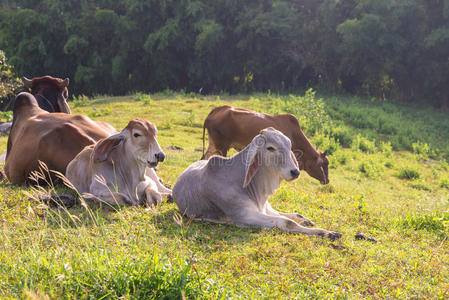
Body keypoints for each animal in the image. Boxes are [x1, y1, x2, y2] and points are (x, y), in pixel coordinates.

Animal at [173, 127, 342, 240]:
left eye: (289, 146)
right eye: (270, 148)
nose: (295, 172)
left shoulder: (263, 209)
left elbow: (291, 216)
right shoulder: (244, 215)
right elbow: (287, 222)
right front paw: (326, 232)